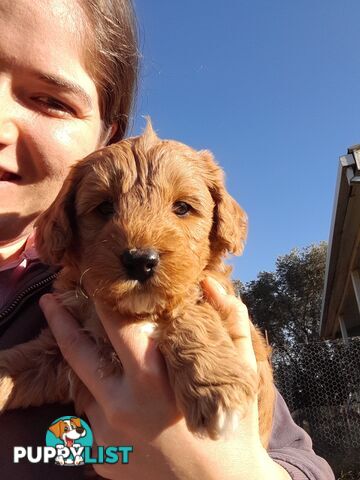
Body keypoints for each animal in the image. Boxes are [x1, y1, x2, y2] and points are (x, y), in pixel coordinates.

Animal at [0, 122, 276, 444]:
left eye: (182, 207)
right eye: (104, 208)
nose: (140, 261)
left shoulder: (222, 304)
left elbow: (192, 311)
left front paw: (216, 385)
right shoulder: (57, 354)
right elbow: (17, 362)